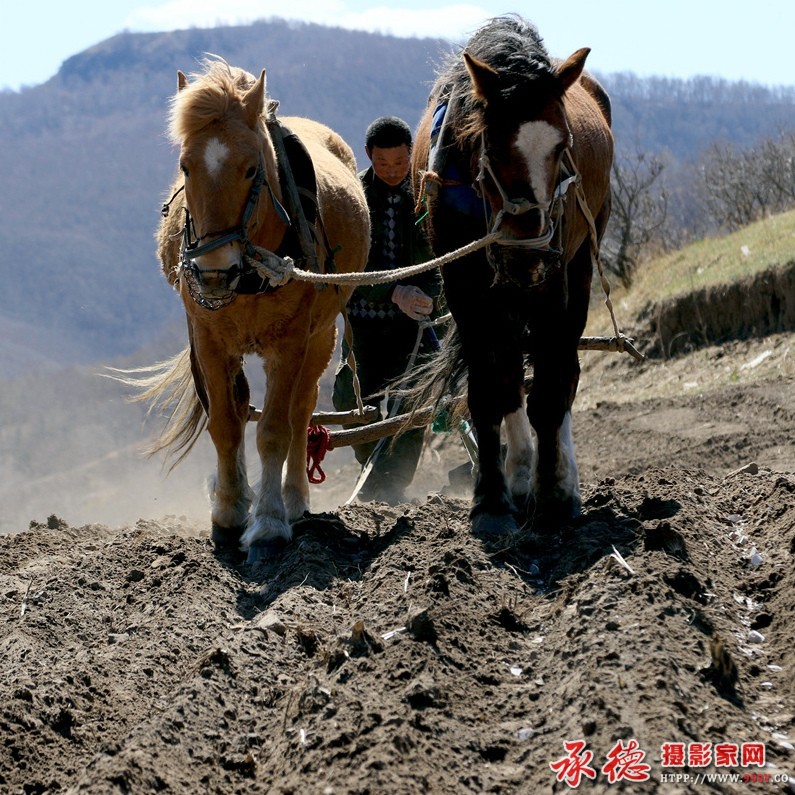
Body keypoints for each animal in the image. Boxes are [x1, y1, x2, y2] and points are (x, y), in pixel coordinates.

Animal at [144, 60, 370, 560]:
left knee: (302, 411)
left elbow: (274, 430)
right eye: (185, 166)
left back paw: (293, 499)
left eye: (251, 169)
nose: (213, 270)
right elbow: (226, 425)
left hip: (321, 336)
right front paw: (229, 511)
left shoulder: (290, 344)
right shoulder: (208, 342)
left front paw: (267, 522)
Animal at [414, 15, 612, 536]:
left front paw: (554, 495)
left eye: (563, 146)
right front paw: (492, 501)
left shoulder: (553, 285)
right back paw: (519, 475)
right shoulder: (465, 290)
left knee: (563, 374)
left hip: (576, 270)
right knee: (509, 376)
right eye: (495, 147)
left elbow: (549, 389)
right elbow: (491, 390)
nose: (528, 252)